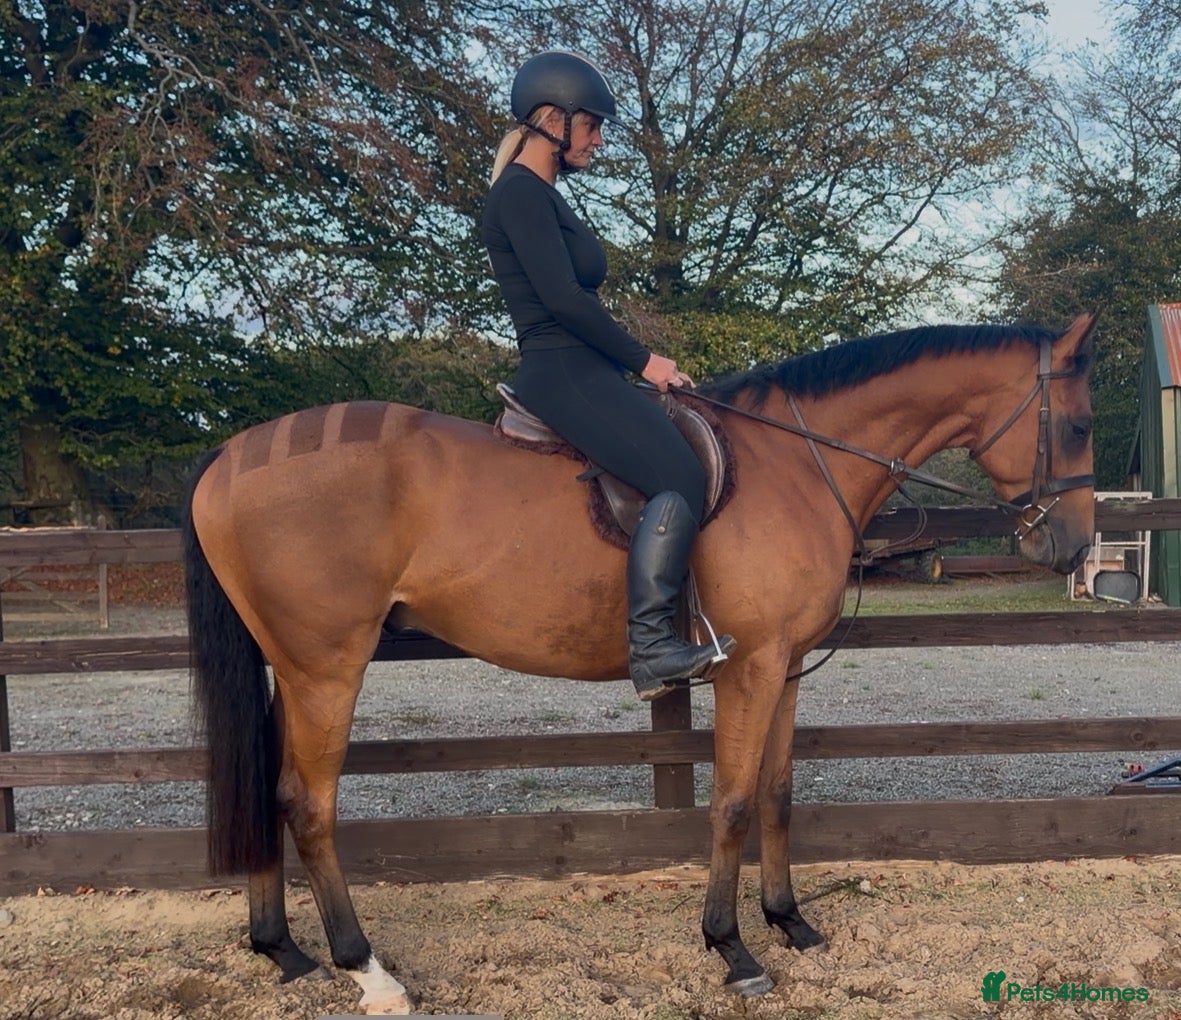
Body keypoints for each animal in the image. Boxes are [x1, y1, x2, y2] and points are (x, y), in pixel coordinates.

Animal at [184, 312, 1096, 1014]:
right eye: (1081, 424)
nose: (1071, 547)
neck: (797, 463)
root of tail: (229, 455)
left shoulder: (785, 666)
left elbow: (776, 795)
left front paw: (790, 923)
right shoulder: (749, 667)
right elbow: (731, 803)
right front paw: (731, 948)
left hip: (289, 668)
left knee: (266, 790)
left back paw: (283, 951)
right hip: (326, 668)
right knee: (307, 804)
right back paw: (366, 970)